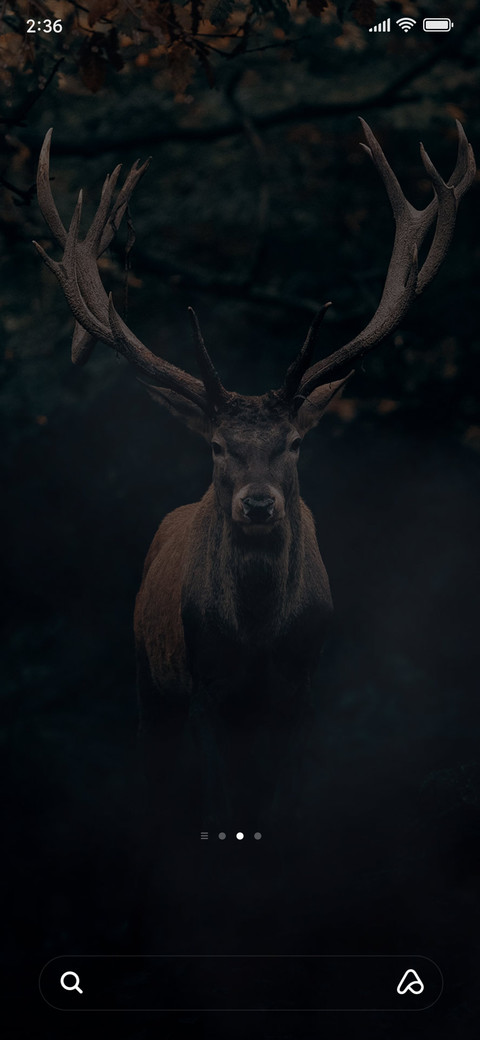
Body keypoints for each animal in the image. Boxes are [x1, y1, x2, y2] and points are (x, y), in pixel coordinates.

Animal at [34, 120, 475, 836]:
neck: (260, 638)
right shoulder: (207, 684)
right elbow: (223, 796)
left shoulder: (302, 685)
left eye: (294, 443)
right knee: (162, 780)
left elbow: (276, 799)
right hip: (148, 671)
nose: (260, 505)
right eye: (217, 446)